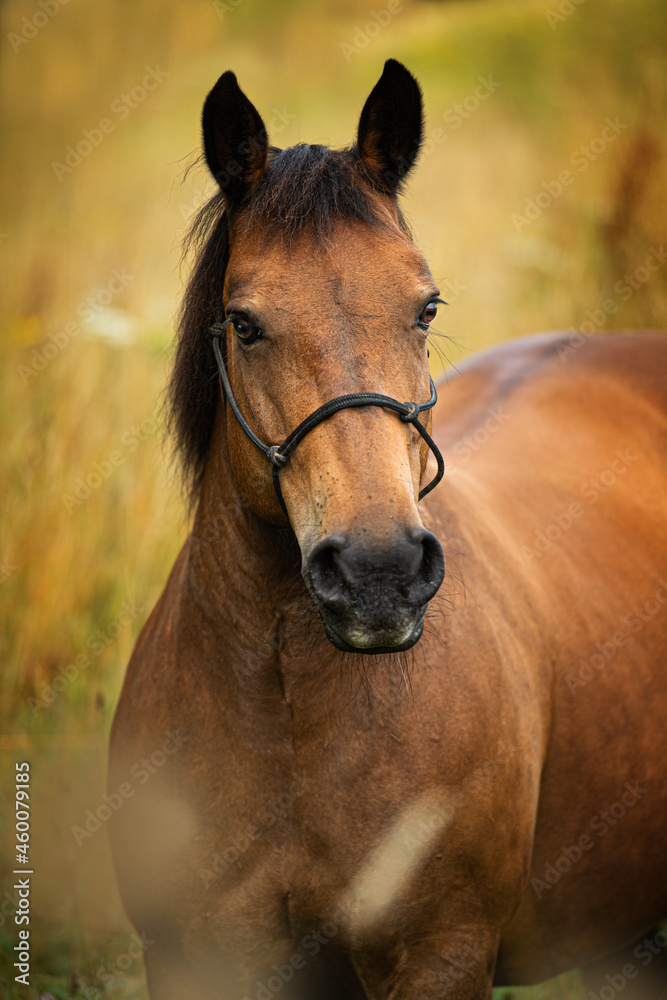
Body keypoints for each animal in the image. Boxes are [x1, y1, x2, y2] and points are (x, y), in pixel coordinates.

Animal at [109, 60, 667, 1000]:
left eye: (426, 307)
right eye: (244, 322)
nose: (379, 574)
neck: (286, 715)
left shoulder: (440, 955)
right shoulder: (194, 961)